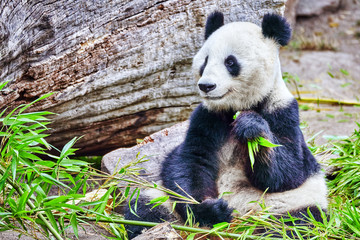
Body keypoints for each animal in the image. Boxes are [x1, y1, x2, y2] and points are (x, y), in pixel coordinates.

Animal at [125, 11, 328, 238]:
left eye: (230, 62)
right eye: (205, 61)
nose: (206, 86)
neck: (235, 107)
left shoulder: (283, 112)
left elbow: (289, 171)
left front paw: (251, 127)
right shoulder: (207, 118)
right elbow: (190, 162)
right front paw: (211, 209)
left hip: (289, 204)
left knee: (295, 224)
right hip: (160, 196)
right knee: (145, 208)